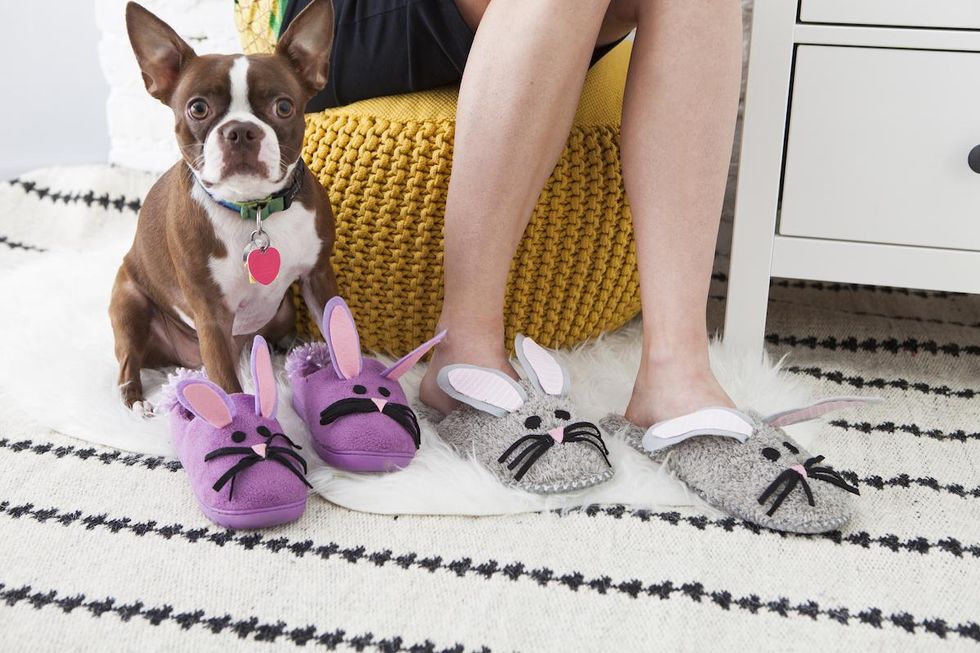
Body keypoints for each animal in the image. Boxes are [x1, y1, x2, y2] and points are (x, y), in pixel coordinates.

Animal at [111, 0, 338, 416]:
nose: (241, 130)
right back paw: (136, 401)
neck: (255, 209)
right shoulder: (211, 316)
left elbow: (341, 330)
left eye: (284, 106)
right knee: (128, 361)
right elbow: (230, 391)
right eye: (198, 108)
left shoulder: (318, 276)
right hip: (129, 302)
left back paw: (292, 346)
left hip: (282, 310)